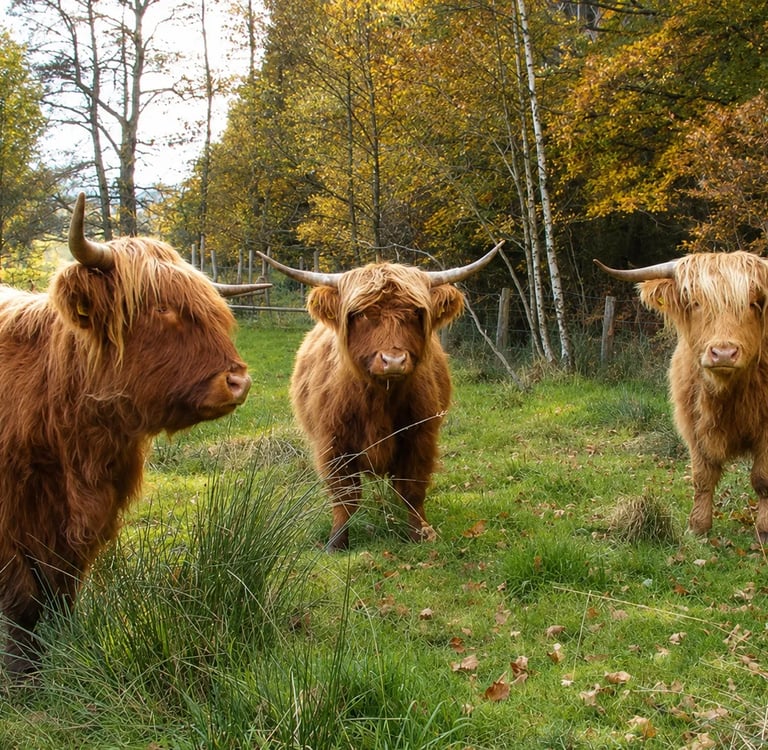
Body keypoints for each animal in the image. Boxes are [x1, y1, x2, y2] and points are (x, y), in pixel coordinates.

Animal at [0, 193, 270, 676]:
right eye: (161, 309)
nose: (239, 382)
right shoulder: (11, 526)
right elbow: (23, 604)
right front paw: (23, 678)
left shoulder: (76, 527)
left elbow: (57, 599)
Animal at [258, 243, 501, 550]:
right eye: (361, 314)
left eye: (415, 312)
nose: (393, 360)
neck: (379, 400)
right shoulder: (333, 444)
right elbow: (345, 496)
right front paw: (336, 542)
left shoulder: (420, 437)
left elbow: (412, 489)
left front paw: (420, 533)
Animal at [595, 251, 768, 542]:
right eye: (695, 302)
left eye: (754, 303)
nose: (723, 353)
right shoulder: (693, 425)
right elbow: (702, 476)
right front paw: (698, 526)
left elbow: (762, 478)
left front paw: (764, 529)